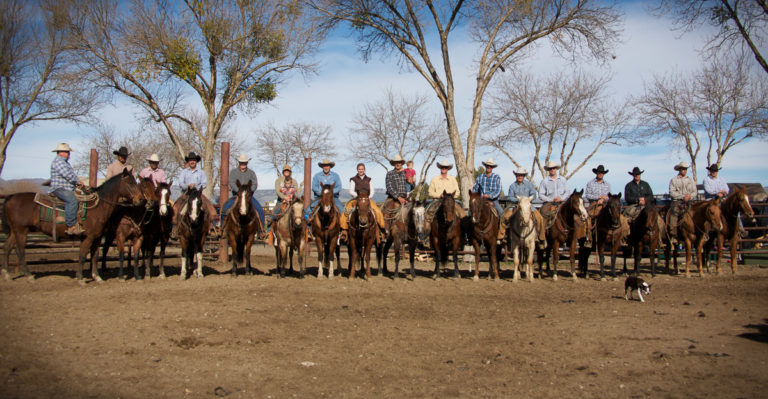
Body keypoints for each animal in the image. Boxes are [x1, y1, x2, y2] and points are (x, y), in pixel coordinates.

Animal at [2, 170, 144, 284]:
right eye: (130, 183)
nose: (141, 199)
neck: (98, 206)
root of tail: (10, 197)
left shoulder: (97, 237)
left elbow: (94, 256)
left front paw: (97, 277)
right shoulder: (88, 237)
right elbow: (82, 255)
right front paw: (80, 278)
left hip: (14, 231)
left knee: (7, 247)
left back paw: (7, 275)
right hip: (21, 230)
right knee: (20, 250)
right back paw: (29, 276)